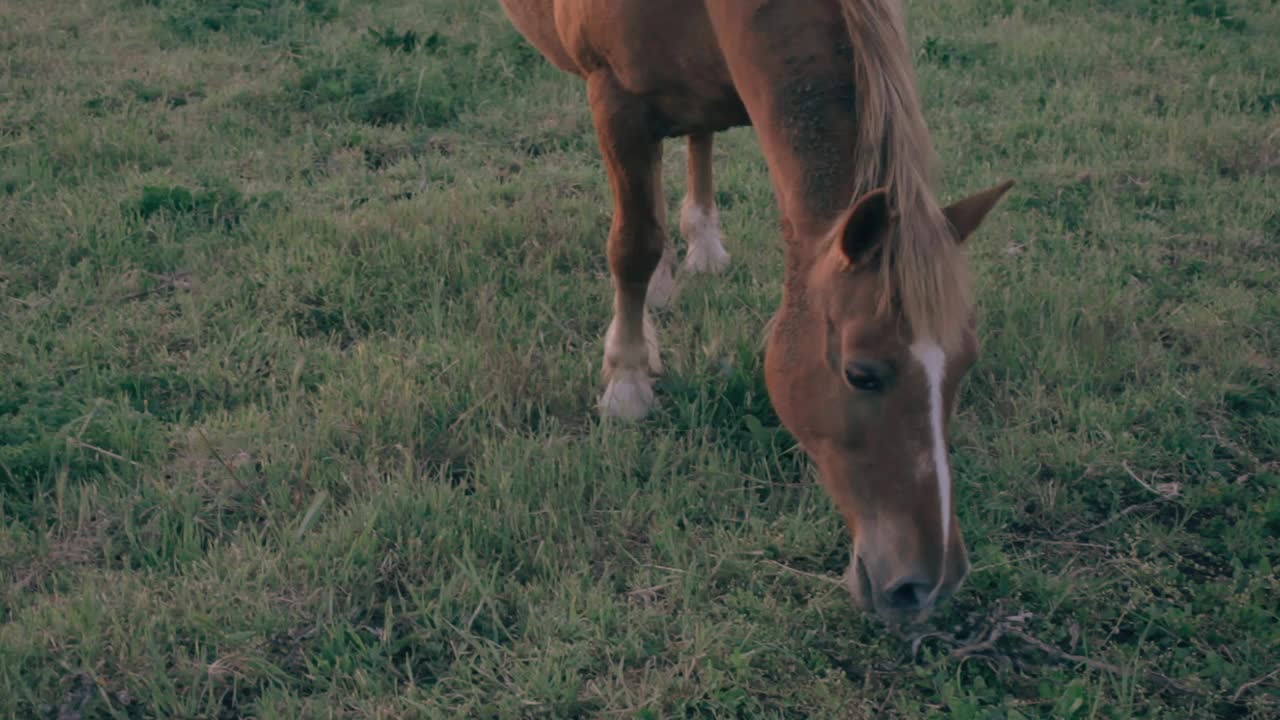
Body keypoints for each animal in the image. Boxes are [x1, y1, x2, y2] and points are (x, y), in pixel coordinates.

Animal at [496, 0, 1008, 622]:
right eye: (861, 374)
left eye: (966, 364)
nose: (929, 584)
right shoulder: (613, 99)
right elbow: (633, 245)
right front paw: (627, 380)